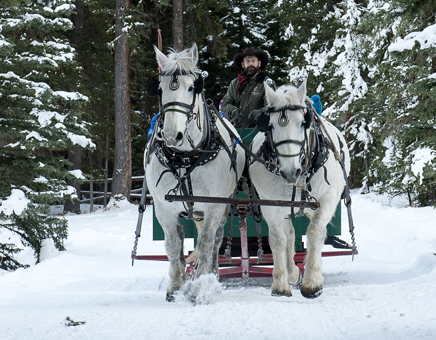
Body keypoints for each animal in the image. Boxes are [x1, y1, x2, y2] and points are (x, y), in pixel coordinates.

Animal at [144, 43, 244, 302]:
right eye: (160, 89)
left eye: (192, 87)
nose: (172, 135)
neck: (185, 157)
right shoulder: (164, 207)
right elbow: (173, 245)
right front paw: (175, 286)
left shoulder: (215, 205)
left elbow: (207, 242)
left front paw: (200, 286)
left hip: (224, 205)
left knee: (216, 239)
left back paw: (213, 275)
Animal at [249, 79, 350, 298]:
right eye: (270, 125)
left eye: (304, 122)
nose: (290, 172)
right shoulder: (270, 205)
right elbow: (278, 239)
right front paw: (281, 284)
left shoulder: (327, 201)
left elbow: (314, 233)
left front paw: (312, 283)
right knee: (289, 234)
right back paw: (292, 272)